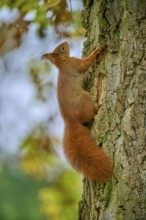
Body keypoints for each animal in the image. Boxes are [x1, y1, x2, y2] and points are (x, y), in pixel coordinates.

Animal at [42, 41, 113, 182]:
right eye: (63, 48)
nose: (66, 42)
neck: (63, 63)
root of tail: (71, 119)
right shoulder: (76, 64)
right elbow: (86, 63)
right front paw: (96, 51)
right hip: (85, 98)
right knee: (90, 115)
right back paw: (97, 108)